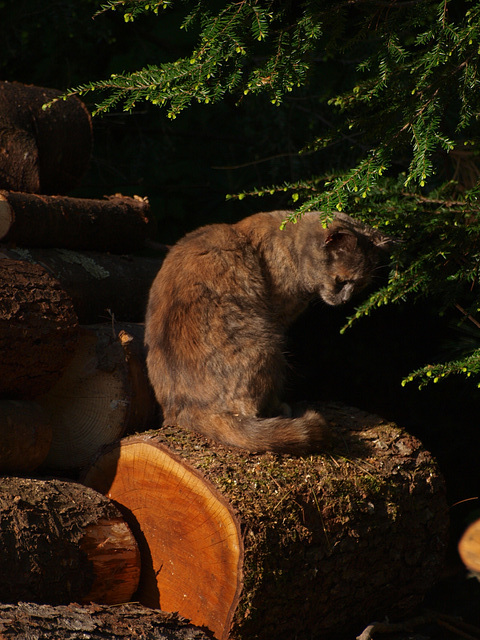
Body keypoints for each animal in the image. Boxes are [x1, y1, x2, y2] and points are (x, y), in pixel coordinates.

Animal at [145, 211, 390, 456]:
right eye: (342, 281)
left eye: (359, 286)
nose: (345, 299)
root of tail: (185, 408)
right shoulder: (279, 320)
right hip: (269, 348)